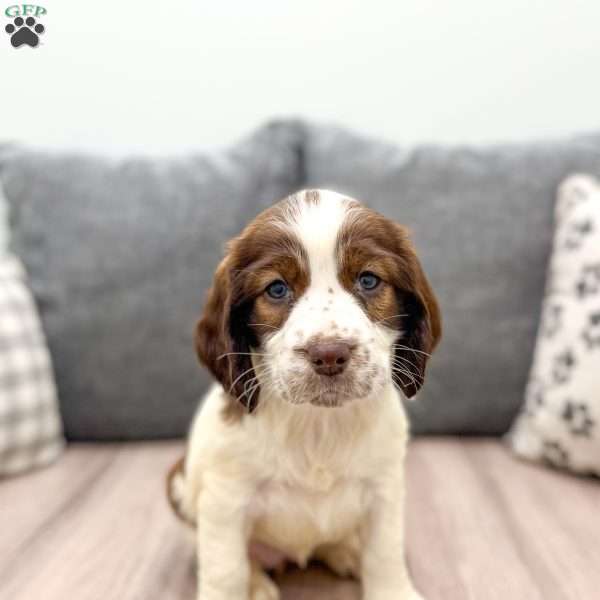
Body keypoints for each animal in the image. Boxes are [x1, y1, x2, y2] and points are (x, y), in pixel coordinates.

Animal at [168, 189, 440, 600]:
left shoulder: (385, 487)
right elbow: (226, 570)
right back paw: (258, 583)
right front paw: (240, 584)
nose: (328, 354)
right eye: (277, 289)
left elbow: (385, 554)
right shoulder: (224, 499)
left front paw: (393, 590)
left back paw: (345, 552)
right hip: (180, 487)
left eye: (369, 280)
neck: (318, 422)